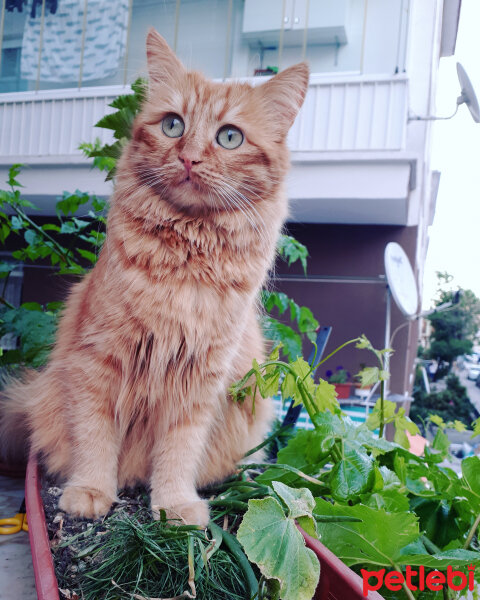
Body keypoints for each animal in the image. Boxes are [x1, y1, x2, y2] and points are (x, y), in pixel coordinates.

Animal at [0, 29, 310, 524]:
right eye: (172, 126)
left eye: (229, 137)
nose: (189, 159)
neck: (185, 261)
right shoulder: (98, 362)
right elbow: (95, 438)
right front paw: (91, 491)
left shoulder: (199, 381)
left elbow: (178, 453)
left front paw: (175, 505)